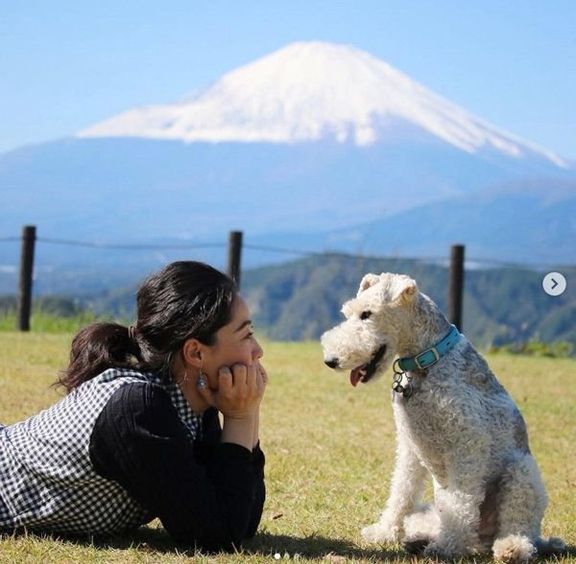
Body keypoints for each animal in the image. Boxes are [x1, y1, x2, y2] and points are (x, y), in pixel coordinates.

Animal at [322, 272, 564, 560]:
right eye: (349, 313)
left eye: (367, 314)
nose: (330, 360)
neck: (428, 359)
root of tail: (482, 539)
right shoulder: (410, 446)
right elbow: (402, 491)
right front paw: (384, 532)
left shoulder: (467, 445)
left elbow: (461, 501)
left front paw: (447, 546)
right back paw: (418, 539)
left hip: (522, 474)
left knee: (519, 526)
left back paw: (510, 547)